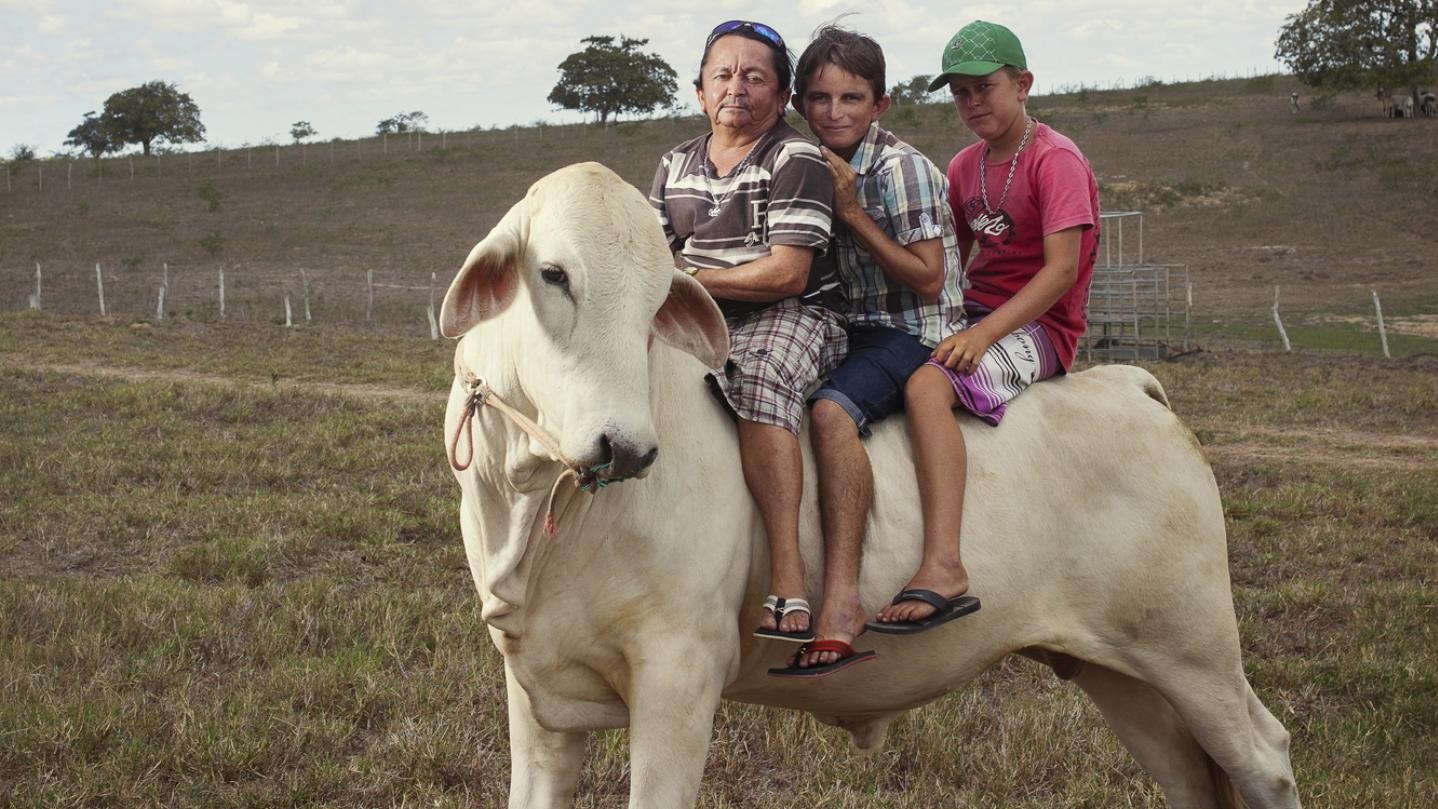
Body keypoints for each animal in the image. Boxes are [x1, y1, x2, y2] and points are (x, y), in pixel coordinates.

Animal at [437, 163, 1305, 809]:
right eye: (553, 274)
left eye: (659, 302)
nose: (627, 446)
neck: (534, 509)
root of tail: (1130, 385)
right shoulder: (539, 699)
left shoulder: (678, 681)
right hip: (1119, 671)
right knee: (1193, 778)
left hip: (1192, 649)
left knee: (1265, 756)